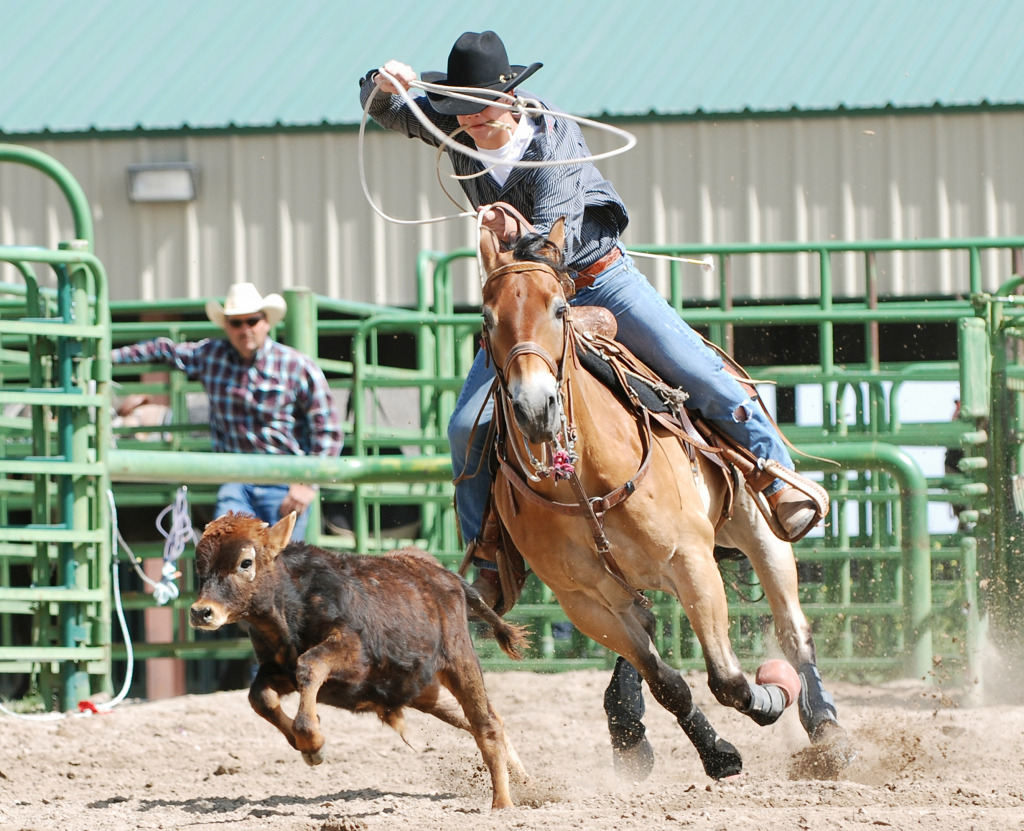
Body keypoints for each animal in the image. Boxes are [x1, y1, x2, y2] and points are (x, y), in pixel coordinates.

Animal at [188, 509, 532, 806]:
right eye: (199, 565)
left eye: (245, 562)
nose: (201, 612)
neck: (291, 605)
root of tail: (442, 575)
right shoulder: (277, 669)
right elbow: (259, 696)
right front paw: (303, 742)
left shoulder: (353, 656)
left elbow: (310, 665)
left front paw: (312, 741)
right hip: (422, 690)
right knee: (487, 721)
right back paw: (526, 782)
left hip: (459, 660)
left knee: (486, 725)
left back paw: (503, 803)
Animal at [475, 219, 851, 777]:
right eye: (486, 317)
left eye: (559, 309)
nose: (534, 408)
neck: (582, 480)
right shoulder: (582, 601)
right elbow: (667, 681)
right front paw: (717, 752)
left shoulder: (691, 560)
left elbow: (727, 679)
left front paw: (771, 696)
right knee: (649, 630)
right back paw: (627, 728)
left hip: (760, 530)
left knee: (793, 628)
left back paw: (827, 731)